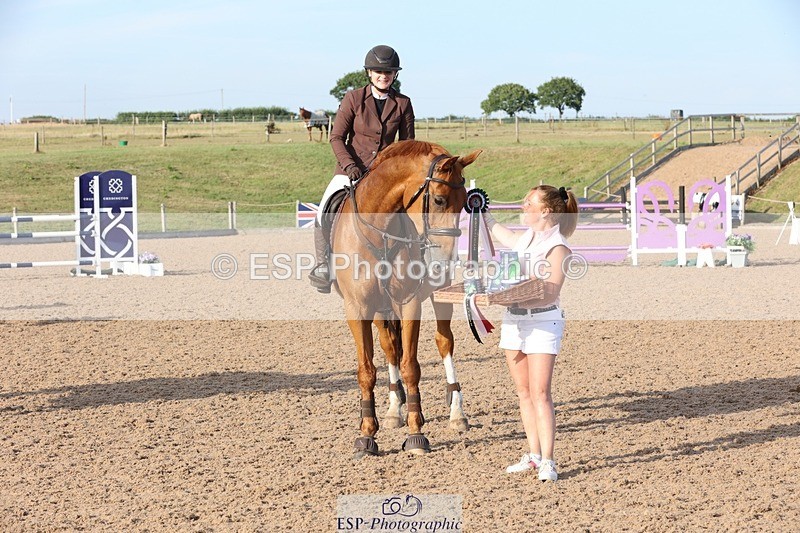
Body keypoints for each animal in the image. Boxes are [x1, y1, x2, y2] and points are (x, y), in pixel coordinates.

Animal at [327, 139, 481, 458]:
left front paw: (416, 434)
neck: (382, 230)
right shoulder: (358, 308)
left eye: (465, 202)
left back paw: (456, 414)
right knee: (390, 348)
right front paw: (367, 435)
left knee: (444, 342)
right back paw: (394, 410)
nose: (444, 263)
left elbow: (411, 367)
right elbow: (367, 370)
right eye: (438, 200)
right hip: (380, 311)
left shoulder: (409, 303)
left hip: (437, 296)